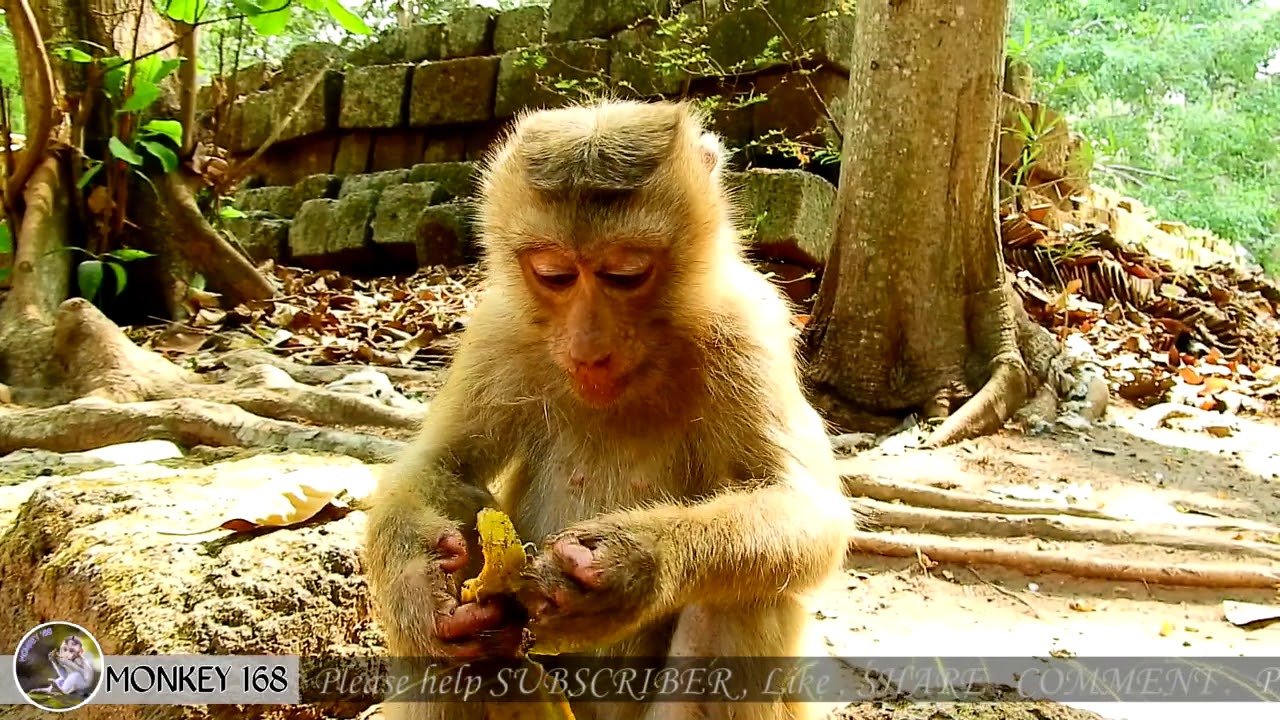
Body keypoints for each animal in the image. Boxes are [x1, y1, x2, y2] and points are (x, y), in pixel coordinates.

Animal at [363, 98, 854, 720]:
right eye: (553, 275)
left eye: (626, 274)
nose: (588, 350)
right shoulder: (497, 328)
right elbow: (442, 466)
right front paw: (417, 585)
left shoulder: (748, 325)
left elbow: (806, 507)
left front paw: (635, 568)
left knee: (748, 591)